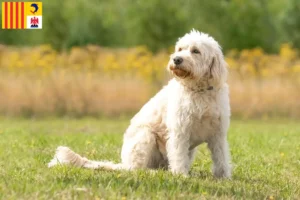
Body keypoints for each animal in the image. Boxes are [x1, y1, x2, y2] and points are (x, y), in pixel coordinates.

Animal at [48, 29, 232, 178]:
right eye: (180, 49)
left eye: (195, 51)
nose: (176, 59)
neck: (199, 92)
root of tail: (123, 164)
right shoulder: (180, 132)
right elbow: (179, 157)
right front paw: (181, 175)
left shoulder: (218, 134)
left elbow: (221, 157)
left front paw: (224, 177)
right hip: (145, 136)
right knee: (136, 169)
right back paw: (153, 172)